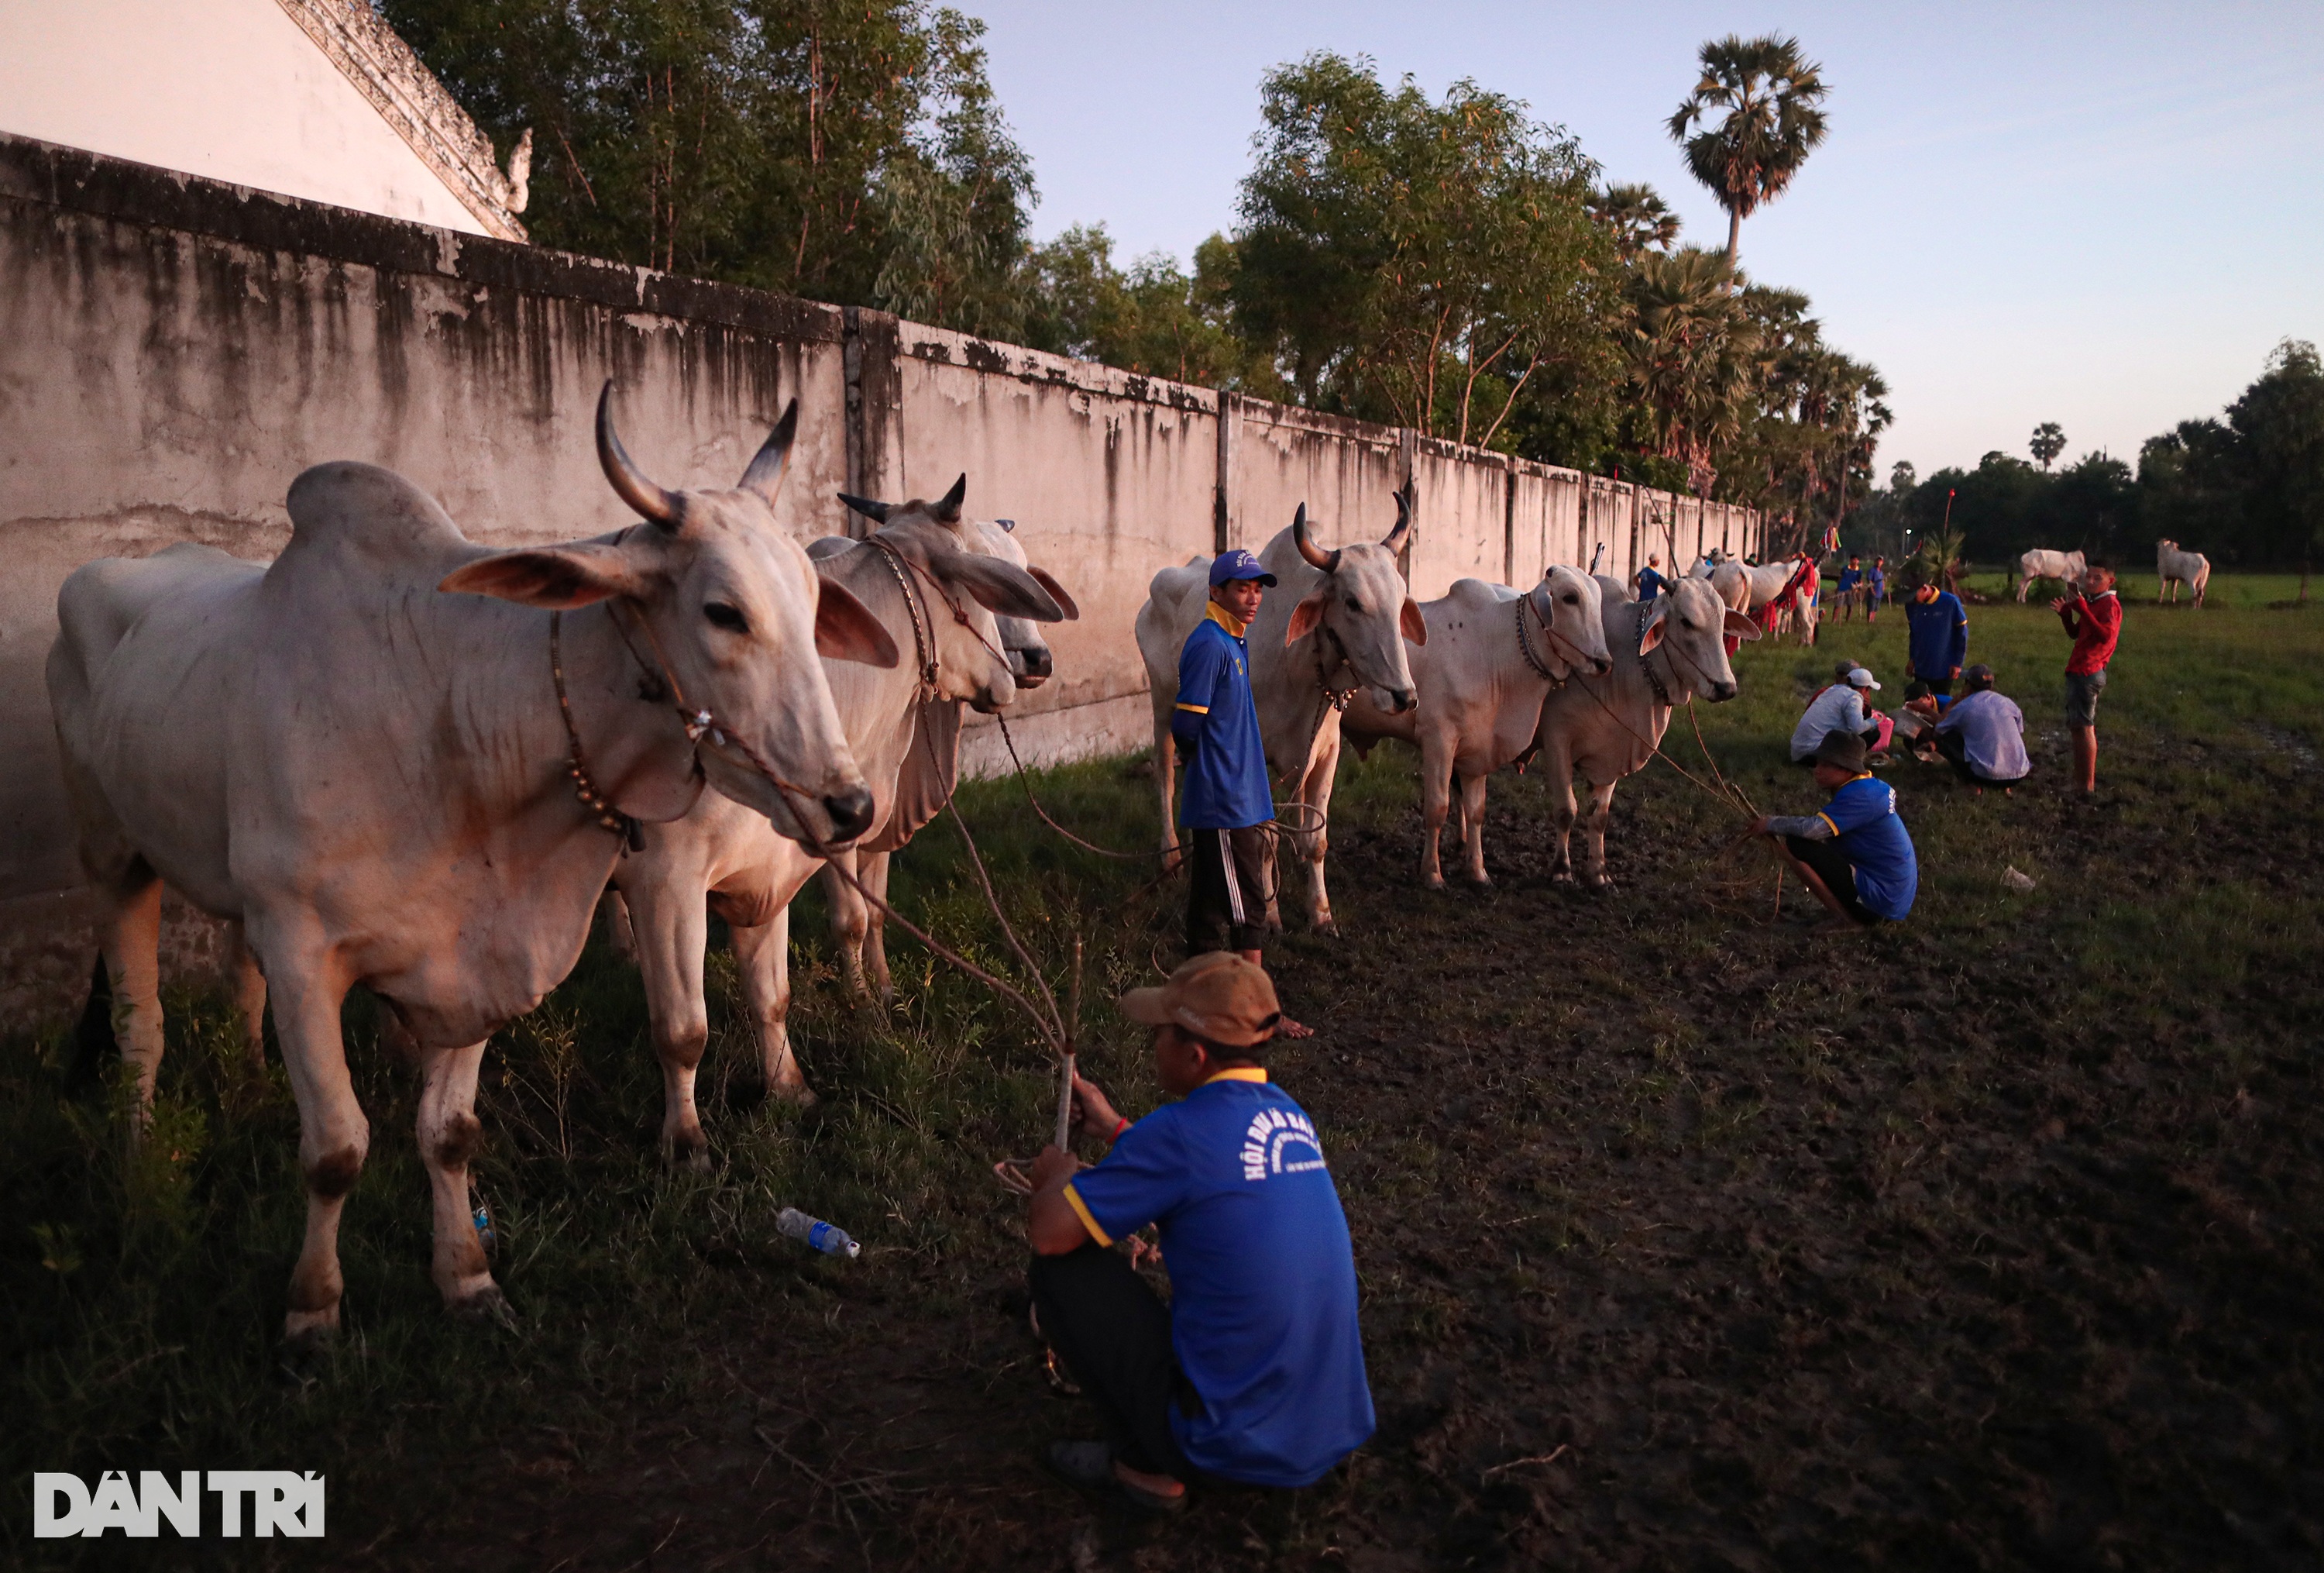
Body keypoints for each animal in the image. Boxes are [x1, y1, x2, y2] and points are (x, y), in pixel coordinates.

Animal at [54, 385, 892, 1348]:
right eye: (724, 611)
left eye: (812, 597)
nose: (849, 804)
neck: (451, 718)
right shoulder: (304, 951)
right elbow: (335, 1148)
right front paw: (313, 1306)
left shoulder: (477, 955)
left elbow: (449, 1131)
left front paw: (466, 1275)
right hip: (111, 856)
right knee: (139, 1021)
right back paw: (137, 1151)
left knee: (237, 983)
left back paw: (252, 1088)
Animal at [609, 478, 1064, 1152]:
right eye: (985, 583)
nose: (1029, 664)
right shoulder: (667, 881)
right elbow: (687, 1026)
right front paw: (685, 1141)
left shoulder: (806, 851)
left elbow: (812, 961)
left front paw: (868, 1006)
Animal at [1348, 566, 1618, 887]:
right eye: (1570, 597)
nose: (1603, 662)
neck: (1495, 650)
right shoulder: (1438, 739)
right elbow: (1437, 808)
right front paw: (1432, 873)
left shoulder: (1478, 749)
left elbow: (1475, 811)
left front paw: (1477, 871)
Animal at [1525, 580, 1757, 883]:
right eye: (1686, 622)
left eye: (1722, 625)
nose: (1726, 688)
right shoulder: (1557, 740)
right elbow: (1566, 811)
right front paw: (1562, 870)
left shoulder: (1611, 755)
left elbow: (1599, 817)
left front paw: (1598, 872)